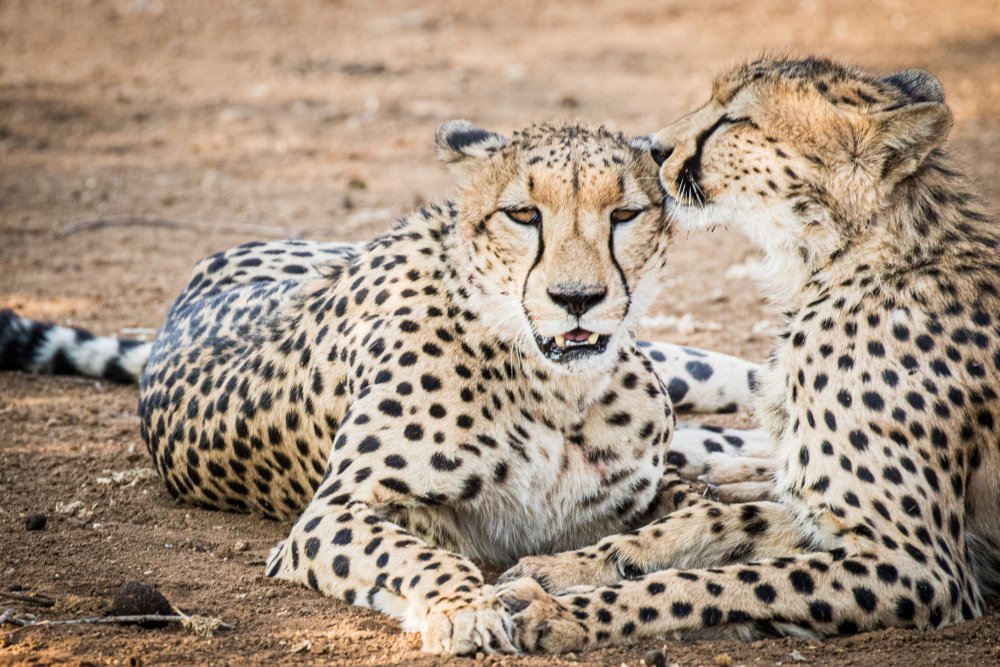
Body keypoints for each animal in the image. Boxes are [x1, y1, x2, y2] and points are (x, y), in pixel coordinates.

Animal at [0, 120, 768, 654]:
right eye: (524, 215)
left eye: (624, 215)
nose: (577, 298)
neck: (554, 391)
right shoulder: (330, 516)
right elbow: (420, 553)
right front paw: (464, 609)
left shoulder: (633, 491)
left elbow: (679, 510)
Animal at [495, 57, 1000, 654]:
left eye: (734, 120)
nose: (651, 147)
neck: (838, 260)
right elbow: (718, 524)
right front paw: (565, 567)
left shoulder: (923, 568)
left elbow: (710, 583)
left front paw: (564, 612)